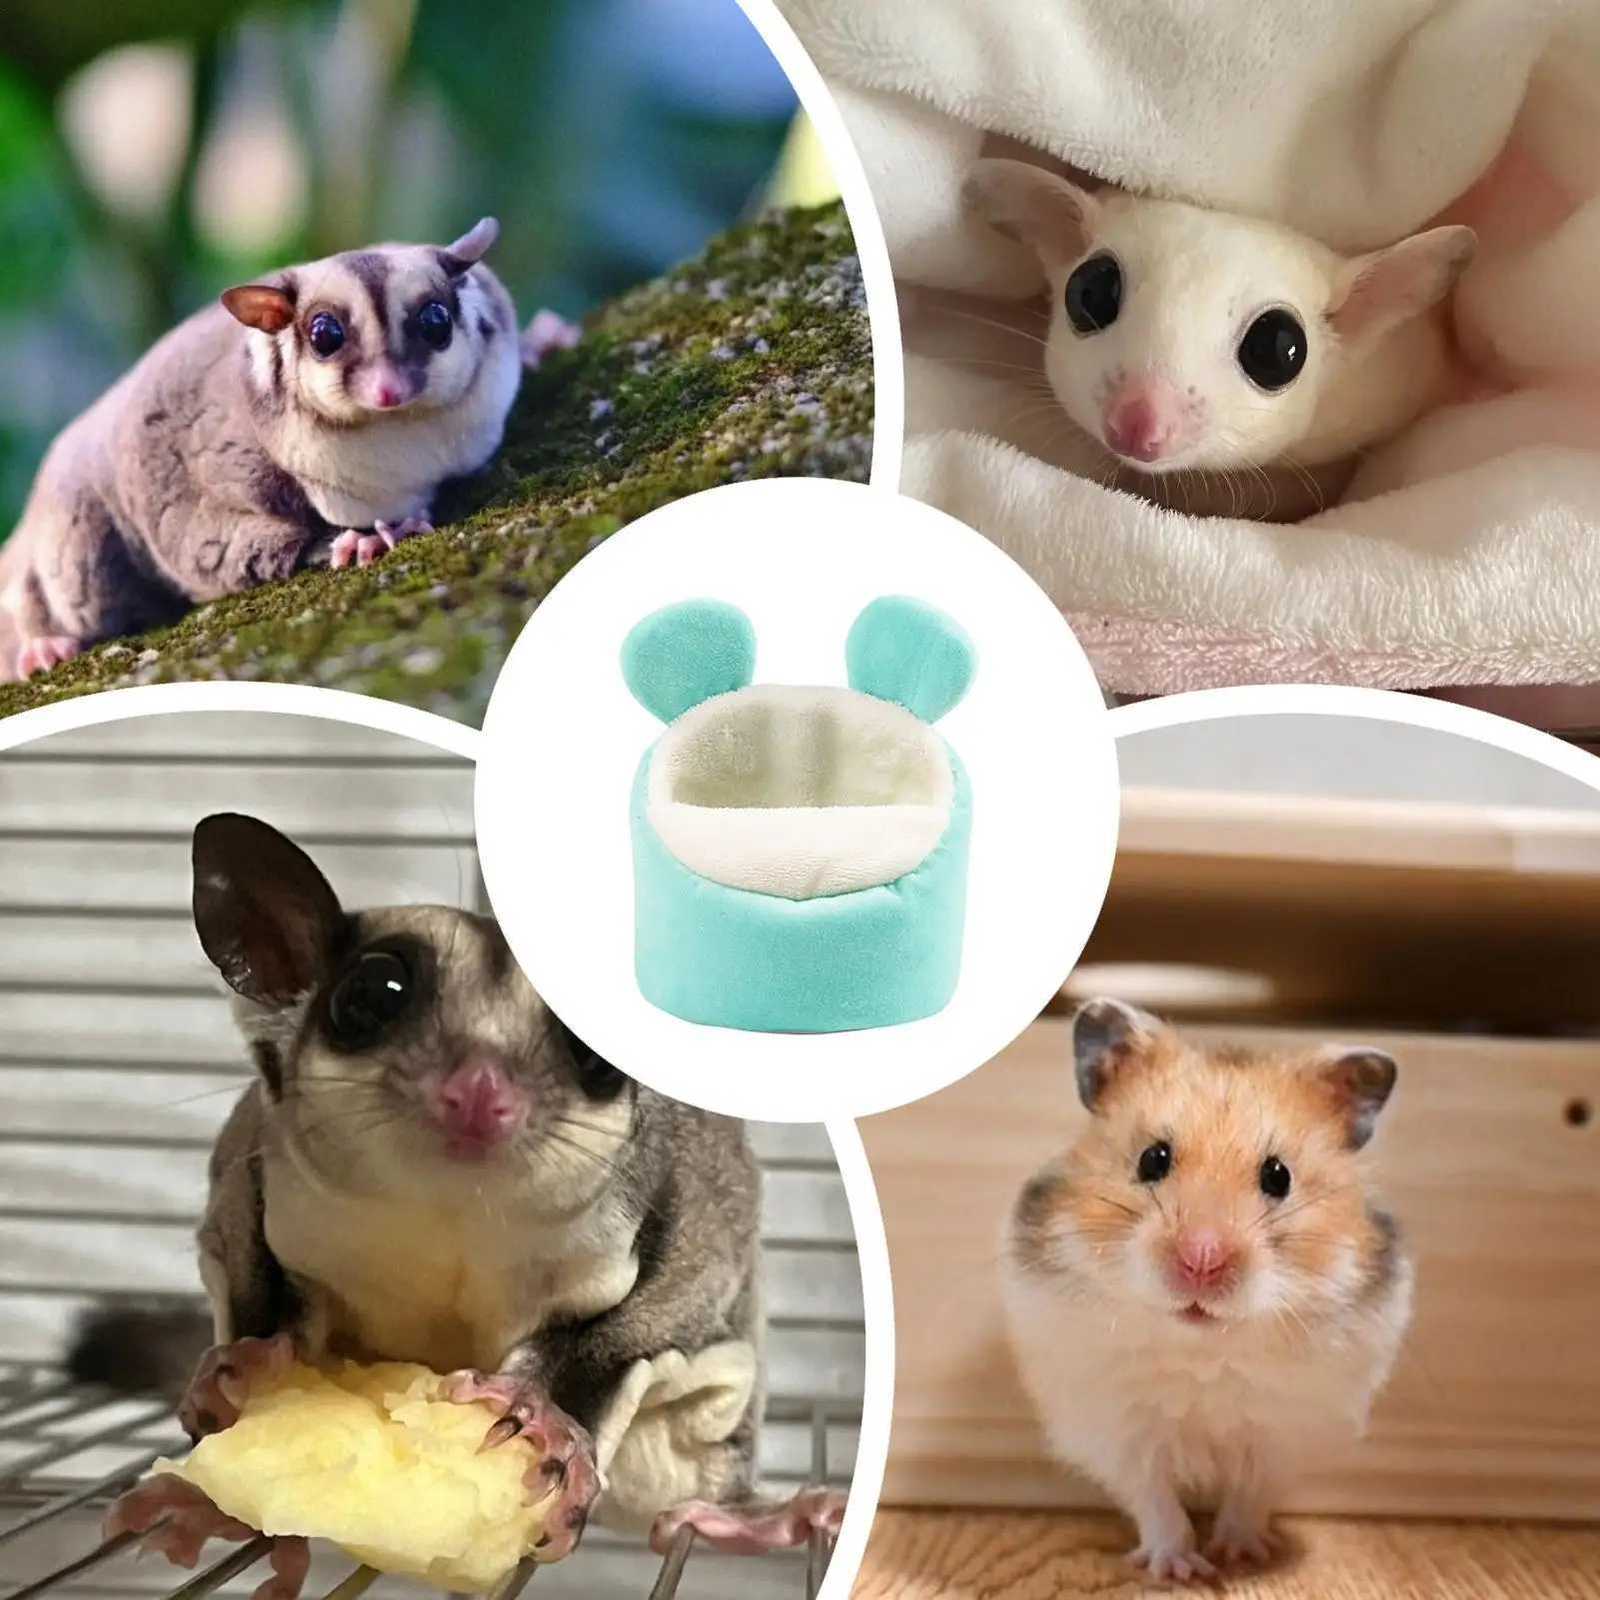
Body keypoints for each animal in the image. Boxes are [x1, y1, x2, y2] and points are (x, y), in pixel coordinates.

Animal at [0, 219, 572, 682]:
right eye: (324, 335)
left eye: (436, 322)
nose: (388, 390)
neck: (407, 440)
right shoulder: (221, 472)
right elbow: (210, 551)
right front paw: (361, 540)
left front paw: (542, 342)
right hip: (70, 535)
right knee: (76, 586)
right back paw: (43, 645)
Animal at [90, 814, 841, 1592]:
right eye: (372, 994)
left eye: (591, 1052)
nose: (480, 1089)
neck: (446, 1218)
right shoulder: (248, 1159)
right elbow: (249, 1273)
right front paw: (246, 1369)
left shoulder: (686, 1210)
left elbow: (647, 1317)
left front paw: (541, 1415)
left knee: (679, 1507)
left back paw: (761, 1517)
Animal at [1002, 999, 1412, 1582]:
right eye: (1152, 1158)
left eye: (1279, 1176)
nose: (1201, 1258)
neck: (1202, 1348)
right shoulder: (1123, 1433)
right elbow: (1157, 1503)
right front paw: (1179, 1570)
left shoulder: (1279, 1436)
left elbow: (1248, 1498)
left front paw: (1239, 1556)